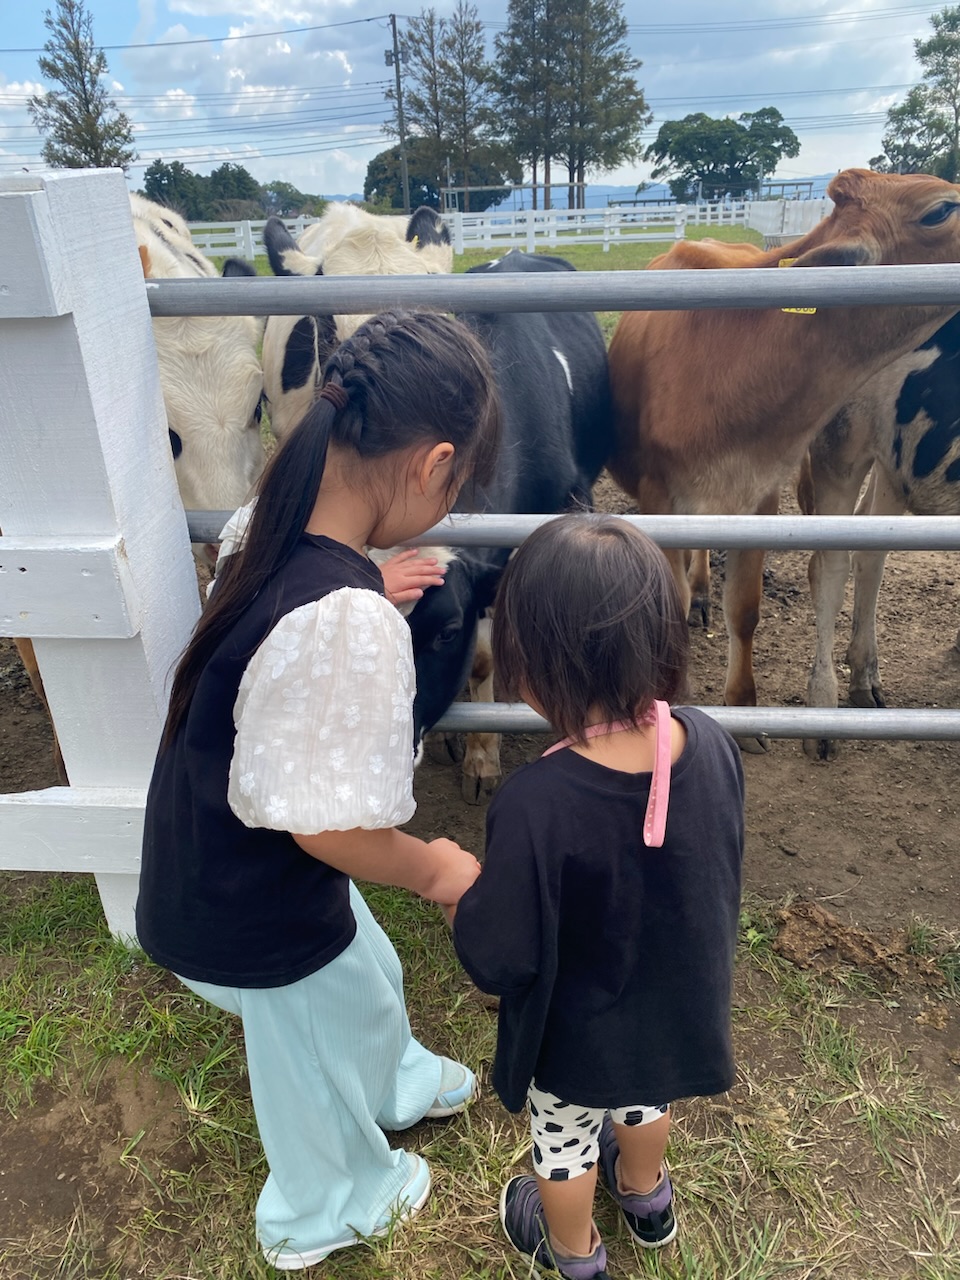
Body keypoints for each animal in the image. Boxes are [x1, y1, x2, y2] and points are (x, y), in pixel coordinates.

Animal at [803, 311, 960, 757]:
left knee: (870, 549)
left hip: (894, 459)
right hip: (842, 440)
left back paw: (863, 676)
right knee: (830, 565)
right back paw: (822, 710)